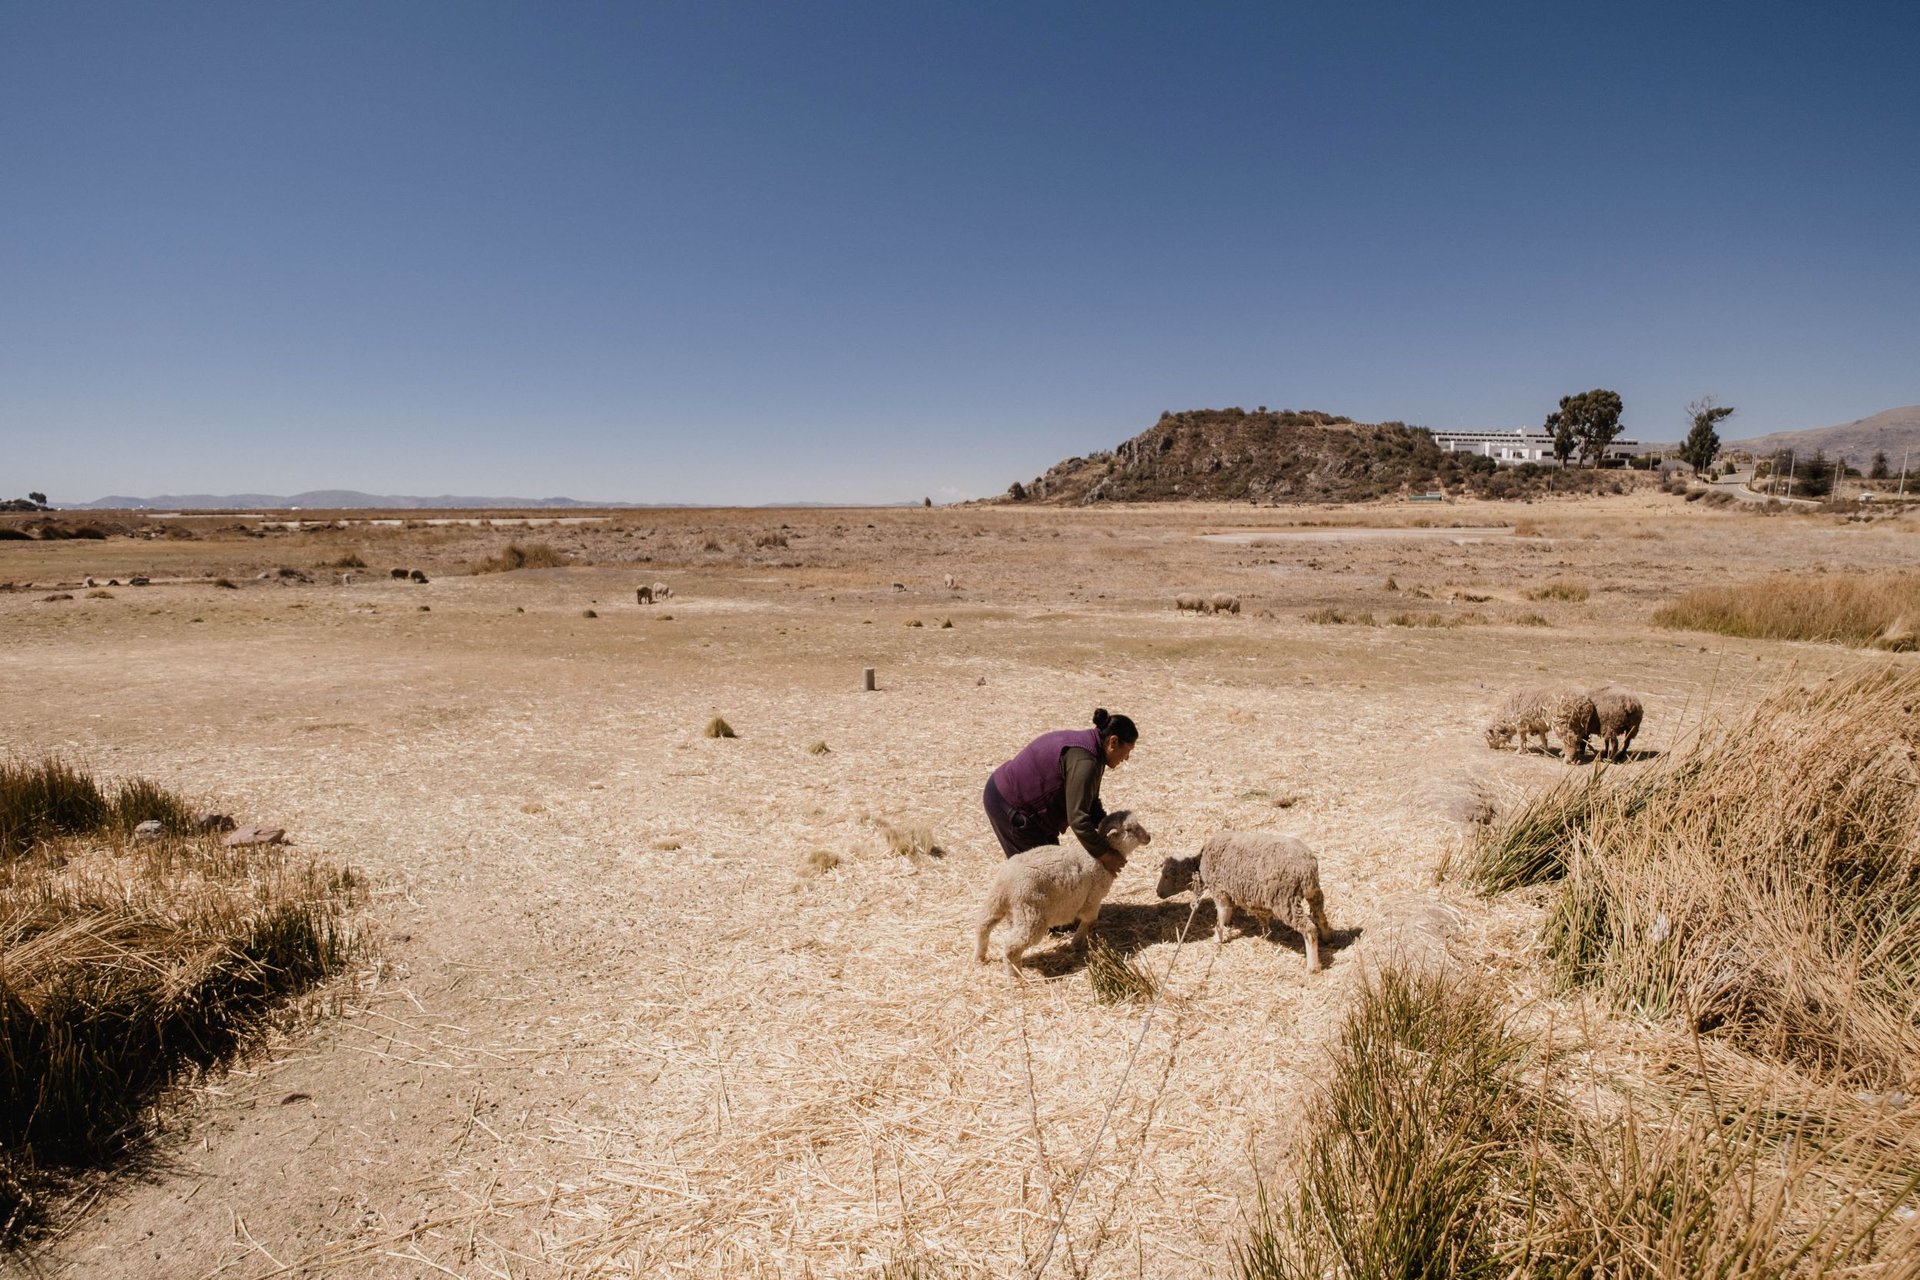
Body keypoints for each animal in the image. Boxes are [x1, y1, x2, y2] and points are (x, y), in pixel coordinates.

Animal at [975, 809, 1152, 971]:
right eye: (1129, 829)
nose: (1148, 837)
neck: (1097, 857)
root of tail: (1008, 881)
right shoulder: (1093, 898)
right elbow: (1089, 920)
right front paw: (1076, 943)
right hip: (1031, 913)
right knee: (1012, 945)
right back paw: (1017, 976)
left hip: (995, 901)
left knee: (983, 926)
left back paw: (979, 957)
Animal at [1152, 832, 1336, 971]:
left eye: (1167, 875)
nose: (1158, 893)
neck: (1200, 864)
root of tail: (1307, 867)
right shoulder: (1230, 891)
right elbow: (1230, 912)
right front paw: (1229, 925)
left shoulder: (1219, 890)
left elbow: (1221, 913)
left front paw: (1217, 937)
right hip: (1313, 892)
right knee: (1320, 916)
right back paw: (1327, 938)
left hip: (1284, 900)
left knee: (1309, 929)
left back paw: (1312, 967)